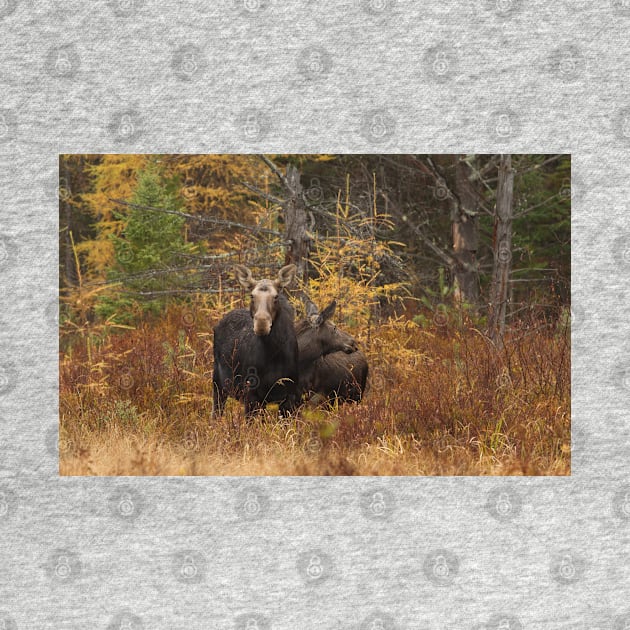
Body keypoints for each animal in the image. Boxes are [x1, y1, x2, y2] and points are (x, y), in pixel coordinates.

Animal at [214, 266, 300, 420]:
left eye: (276, 297)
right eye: (252, 296)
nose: (261, 324)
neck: (273, 354)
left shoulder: (290, 395)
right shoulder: (251, 394)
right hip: (218, 384)